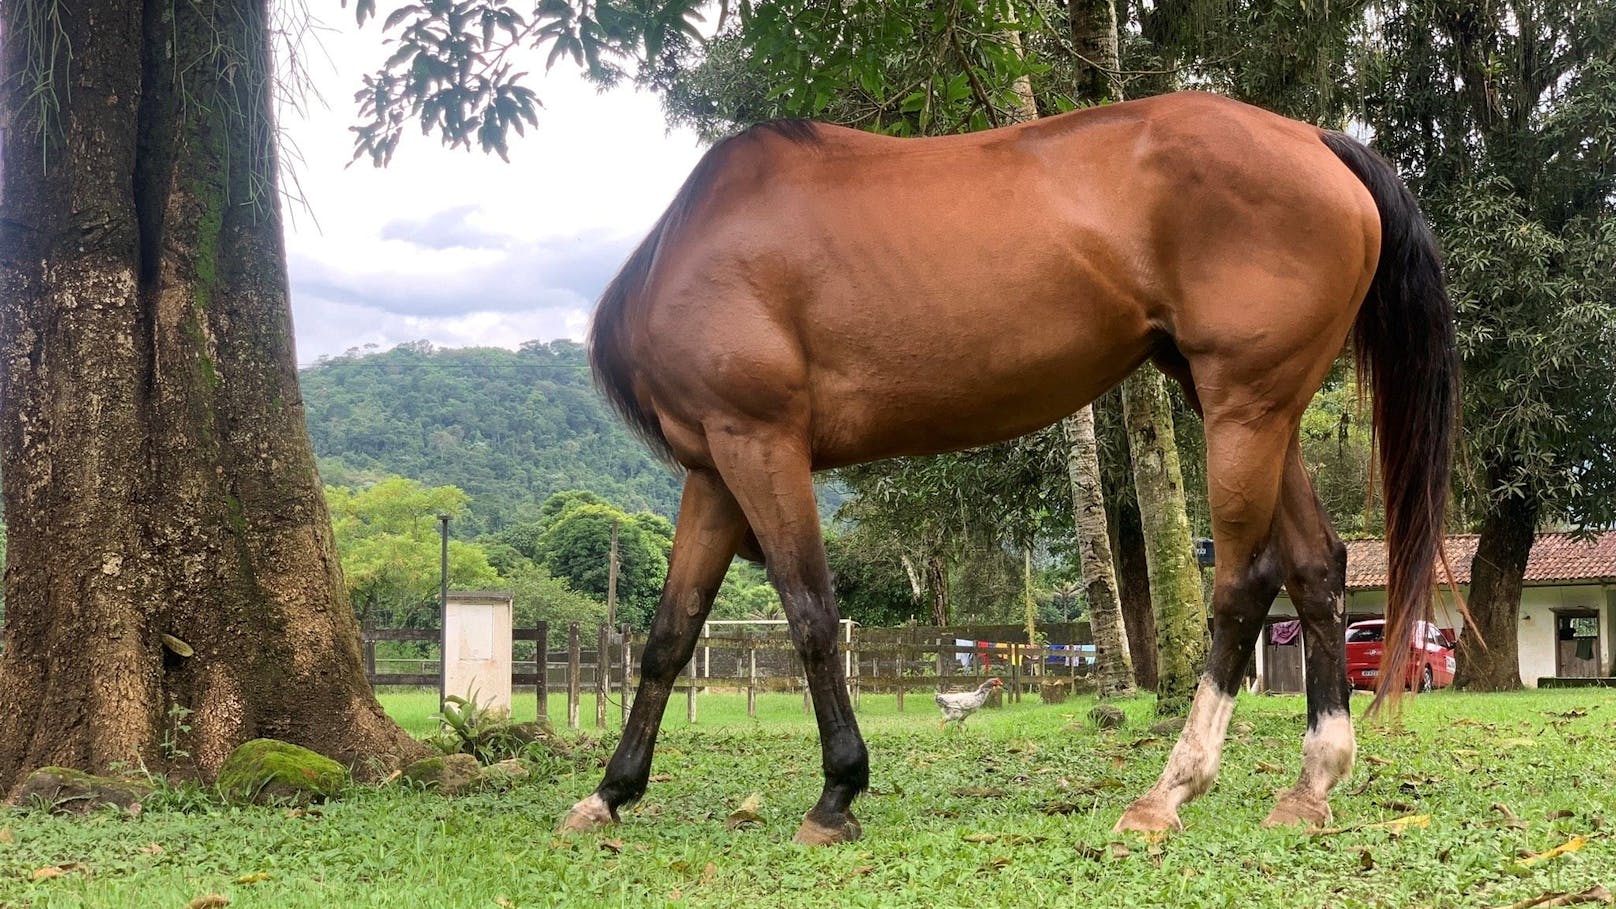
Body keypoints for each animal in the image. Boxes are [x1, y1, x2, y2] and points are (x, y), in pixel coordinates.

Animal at [562, 92, 1460, 841]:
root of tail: (1314, 140)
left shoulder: (760, 442)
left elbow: (811, 615)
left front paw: (837, 792)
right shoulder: (714, 469)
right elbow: (669, 635)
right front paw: (609, 793)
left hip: (1244, 407)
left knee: (1244, 583)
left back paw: (1169, 790)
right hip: (1257, 409)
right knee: (1316, 566)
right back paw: (1312, 783)